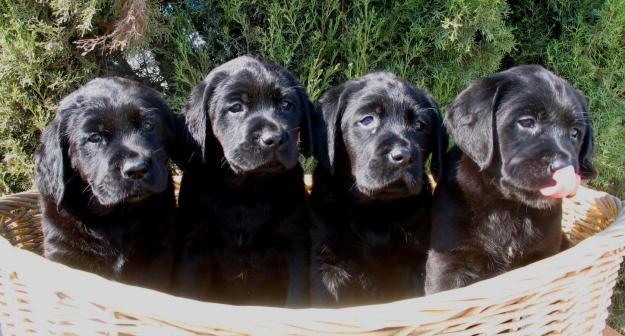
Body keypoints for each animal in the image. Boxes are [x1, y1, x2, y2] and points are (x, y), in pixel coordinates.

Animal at [35, 77, 177, 292]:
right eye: (94, 137)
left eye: (148, 125)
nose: (136, 169)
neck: (117, 216)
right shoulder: (63, 249)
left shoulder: (156, 254)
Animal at [174, 55, 312, 308]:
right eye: (236, 107)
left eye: (286, 105)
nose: (273, 139)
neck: (245, 192)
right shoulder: (194, 247)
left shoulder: (295, 247)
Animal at [310, 71, 446, 308]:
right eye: (367, 120)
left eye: (420, 125)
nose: (403, 156)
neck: (375, 210)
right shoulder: (327, 263)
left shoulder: (417, 260)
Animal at [424, 65, 596, 294]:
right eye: (526, 122)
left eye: (575, 133)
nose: (563, 167)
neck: (508, 206)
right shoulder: (449, 259)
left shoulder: (546, 252)